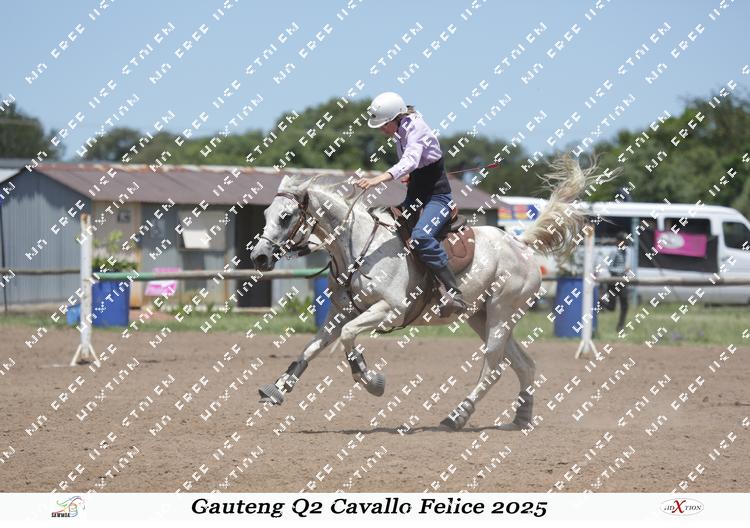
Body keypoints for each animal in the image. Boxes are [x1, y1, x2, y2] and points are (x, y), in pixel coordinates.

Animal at [250, 155, 610, 430]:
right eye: (265, 214)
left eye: (285, 217)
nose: (259, 257)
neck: (361, 247)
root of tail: (520, 244)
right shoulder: (340, 314)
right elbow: (310, 350)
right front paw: (277, 389)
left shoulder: (388, 310)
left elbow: (350, 337)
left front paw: (370, 380)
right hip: (481, 317)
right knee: (524, 365)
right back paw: (520, 418)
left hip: (501, 315)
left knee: (493, 369)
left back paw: (457, 416)